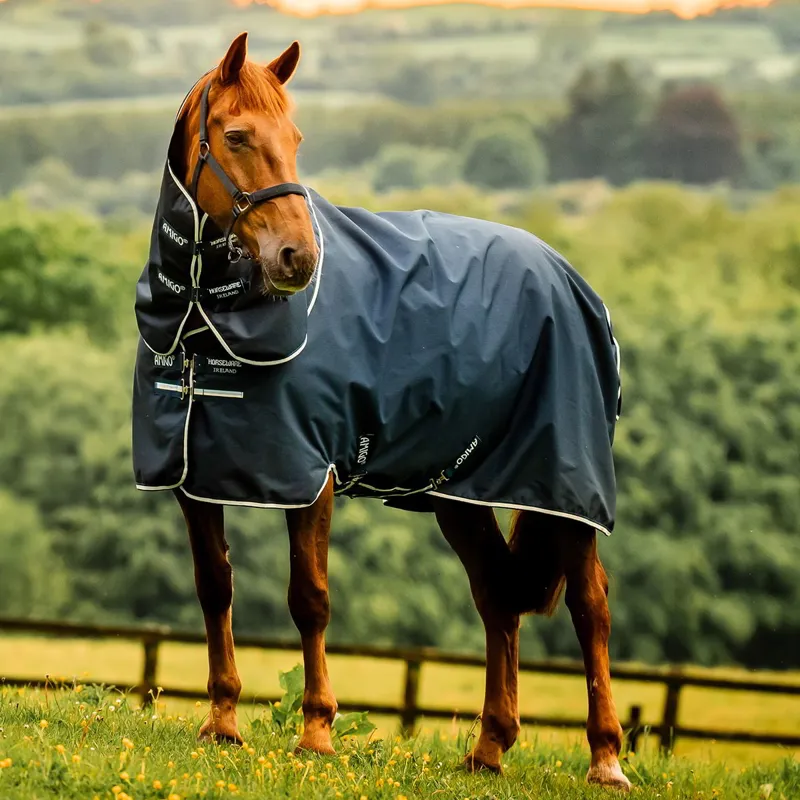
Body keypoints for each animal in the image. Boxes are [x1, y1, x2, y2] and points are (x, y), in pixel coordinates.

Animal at [138, 32, 630, 791]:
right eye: (238, 135)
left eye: (296, 138)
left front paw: (316, 732)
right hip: (461, 493)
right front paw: (221, 722)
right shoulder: (194, 478)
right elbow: (214, 588)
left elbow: (309, 597)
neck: (202, 323)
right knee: (497, 598)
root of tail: (571, 279)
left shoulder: (310, 477)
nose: (298, 258)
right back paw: (489, 749)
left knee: (591, 607)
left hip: (564, 489)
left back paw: (606, 758)